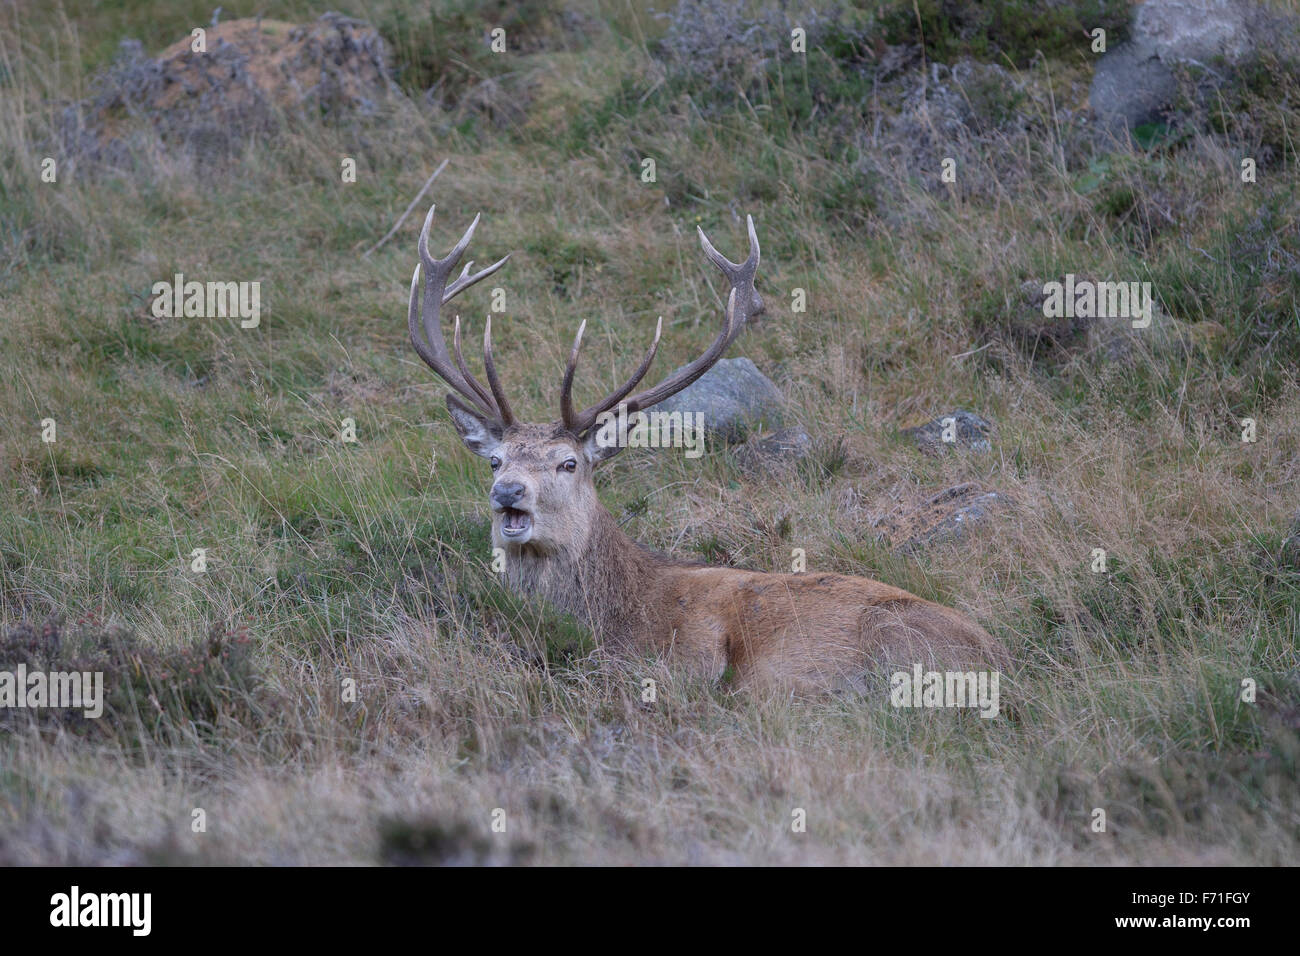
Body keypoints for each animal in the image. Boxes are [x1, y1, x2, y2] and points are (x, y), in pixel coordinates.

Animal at [403, 204, 1006, 693]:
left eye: (568, 463)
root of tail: (1000, 660)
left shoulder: (691, 652)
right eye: (495, 460)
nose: (508, 492)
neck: (617, 613)